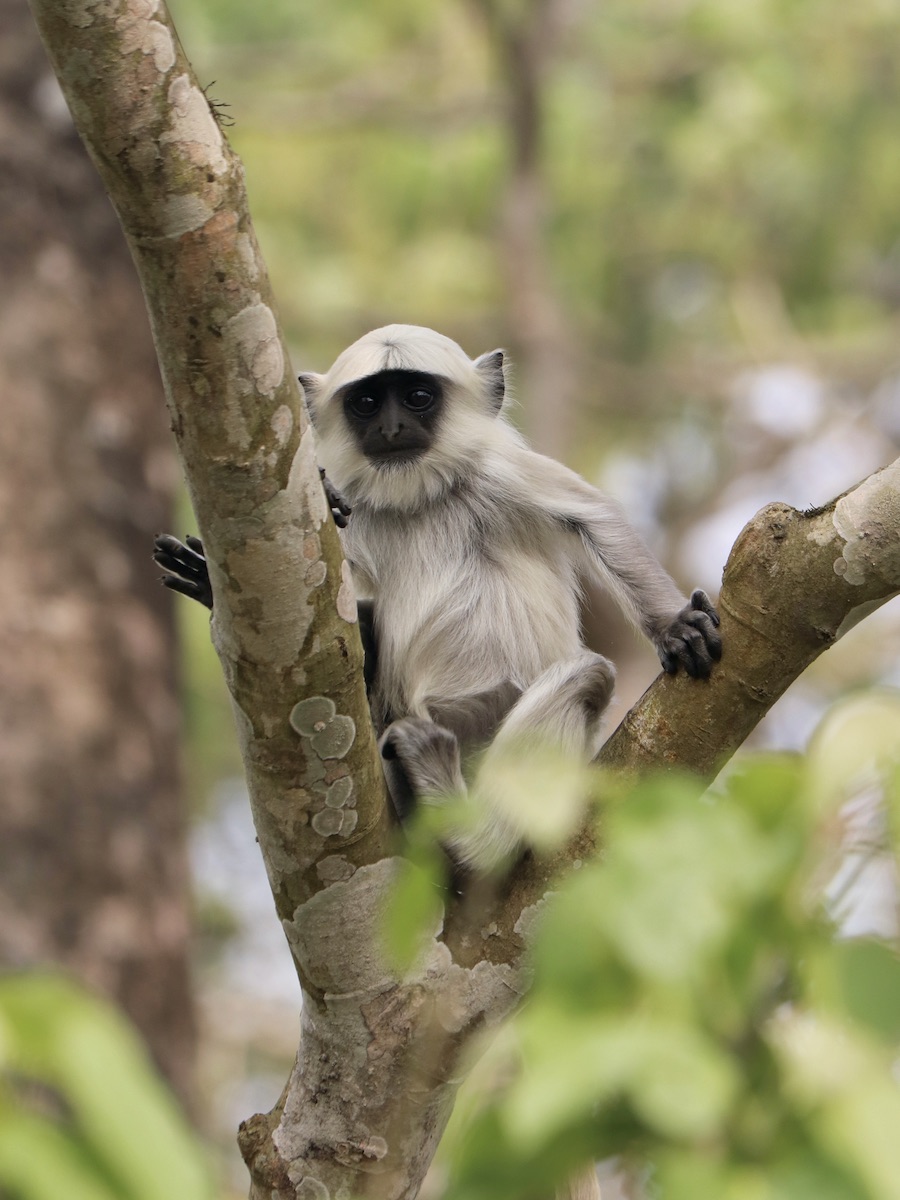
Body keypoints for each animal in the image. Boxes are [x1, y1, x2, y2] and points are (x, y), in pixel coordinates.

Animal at [155, 324, 721, 870]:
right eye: (367, 403)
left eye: (418, 397)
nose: (391, 429)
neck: (417, 498)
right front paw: (218, 579)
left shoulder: (500, 469)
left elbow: (596, 519)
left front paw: (675, 625)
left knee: (588, 677)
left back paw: (473, 839)